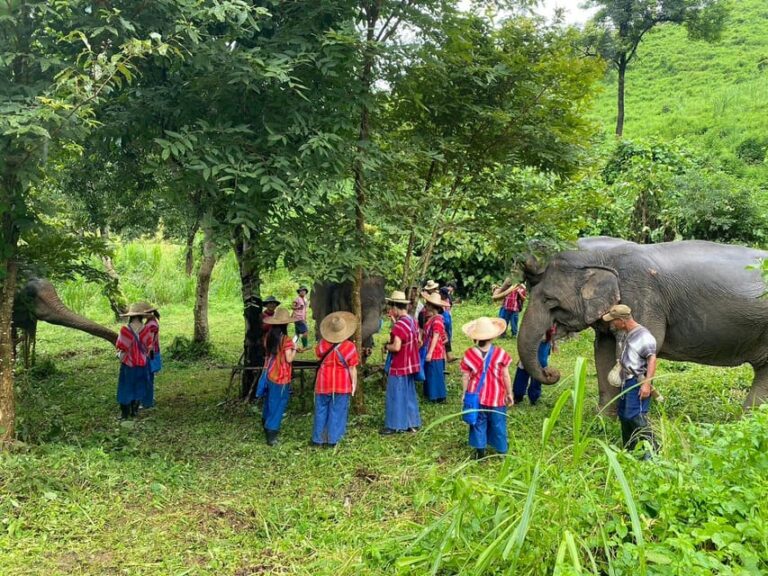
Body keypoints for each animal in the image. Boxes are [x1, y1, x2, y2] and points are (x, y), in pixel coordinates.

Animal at [516, 238, 768, 414]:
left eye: (549, 301)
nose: (552, 372)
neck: (598, 257)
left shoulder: (644, 298)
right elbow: (603, 352)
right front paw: (602, 420)